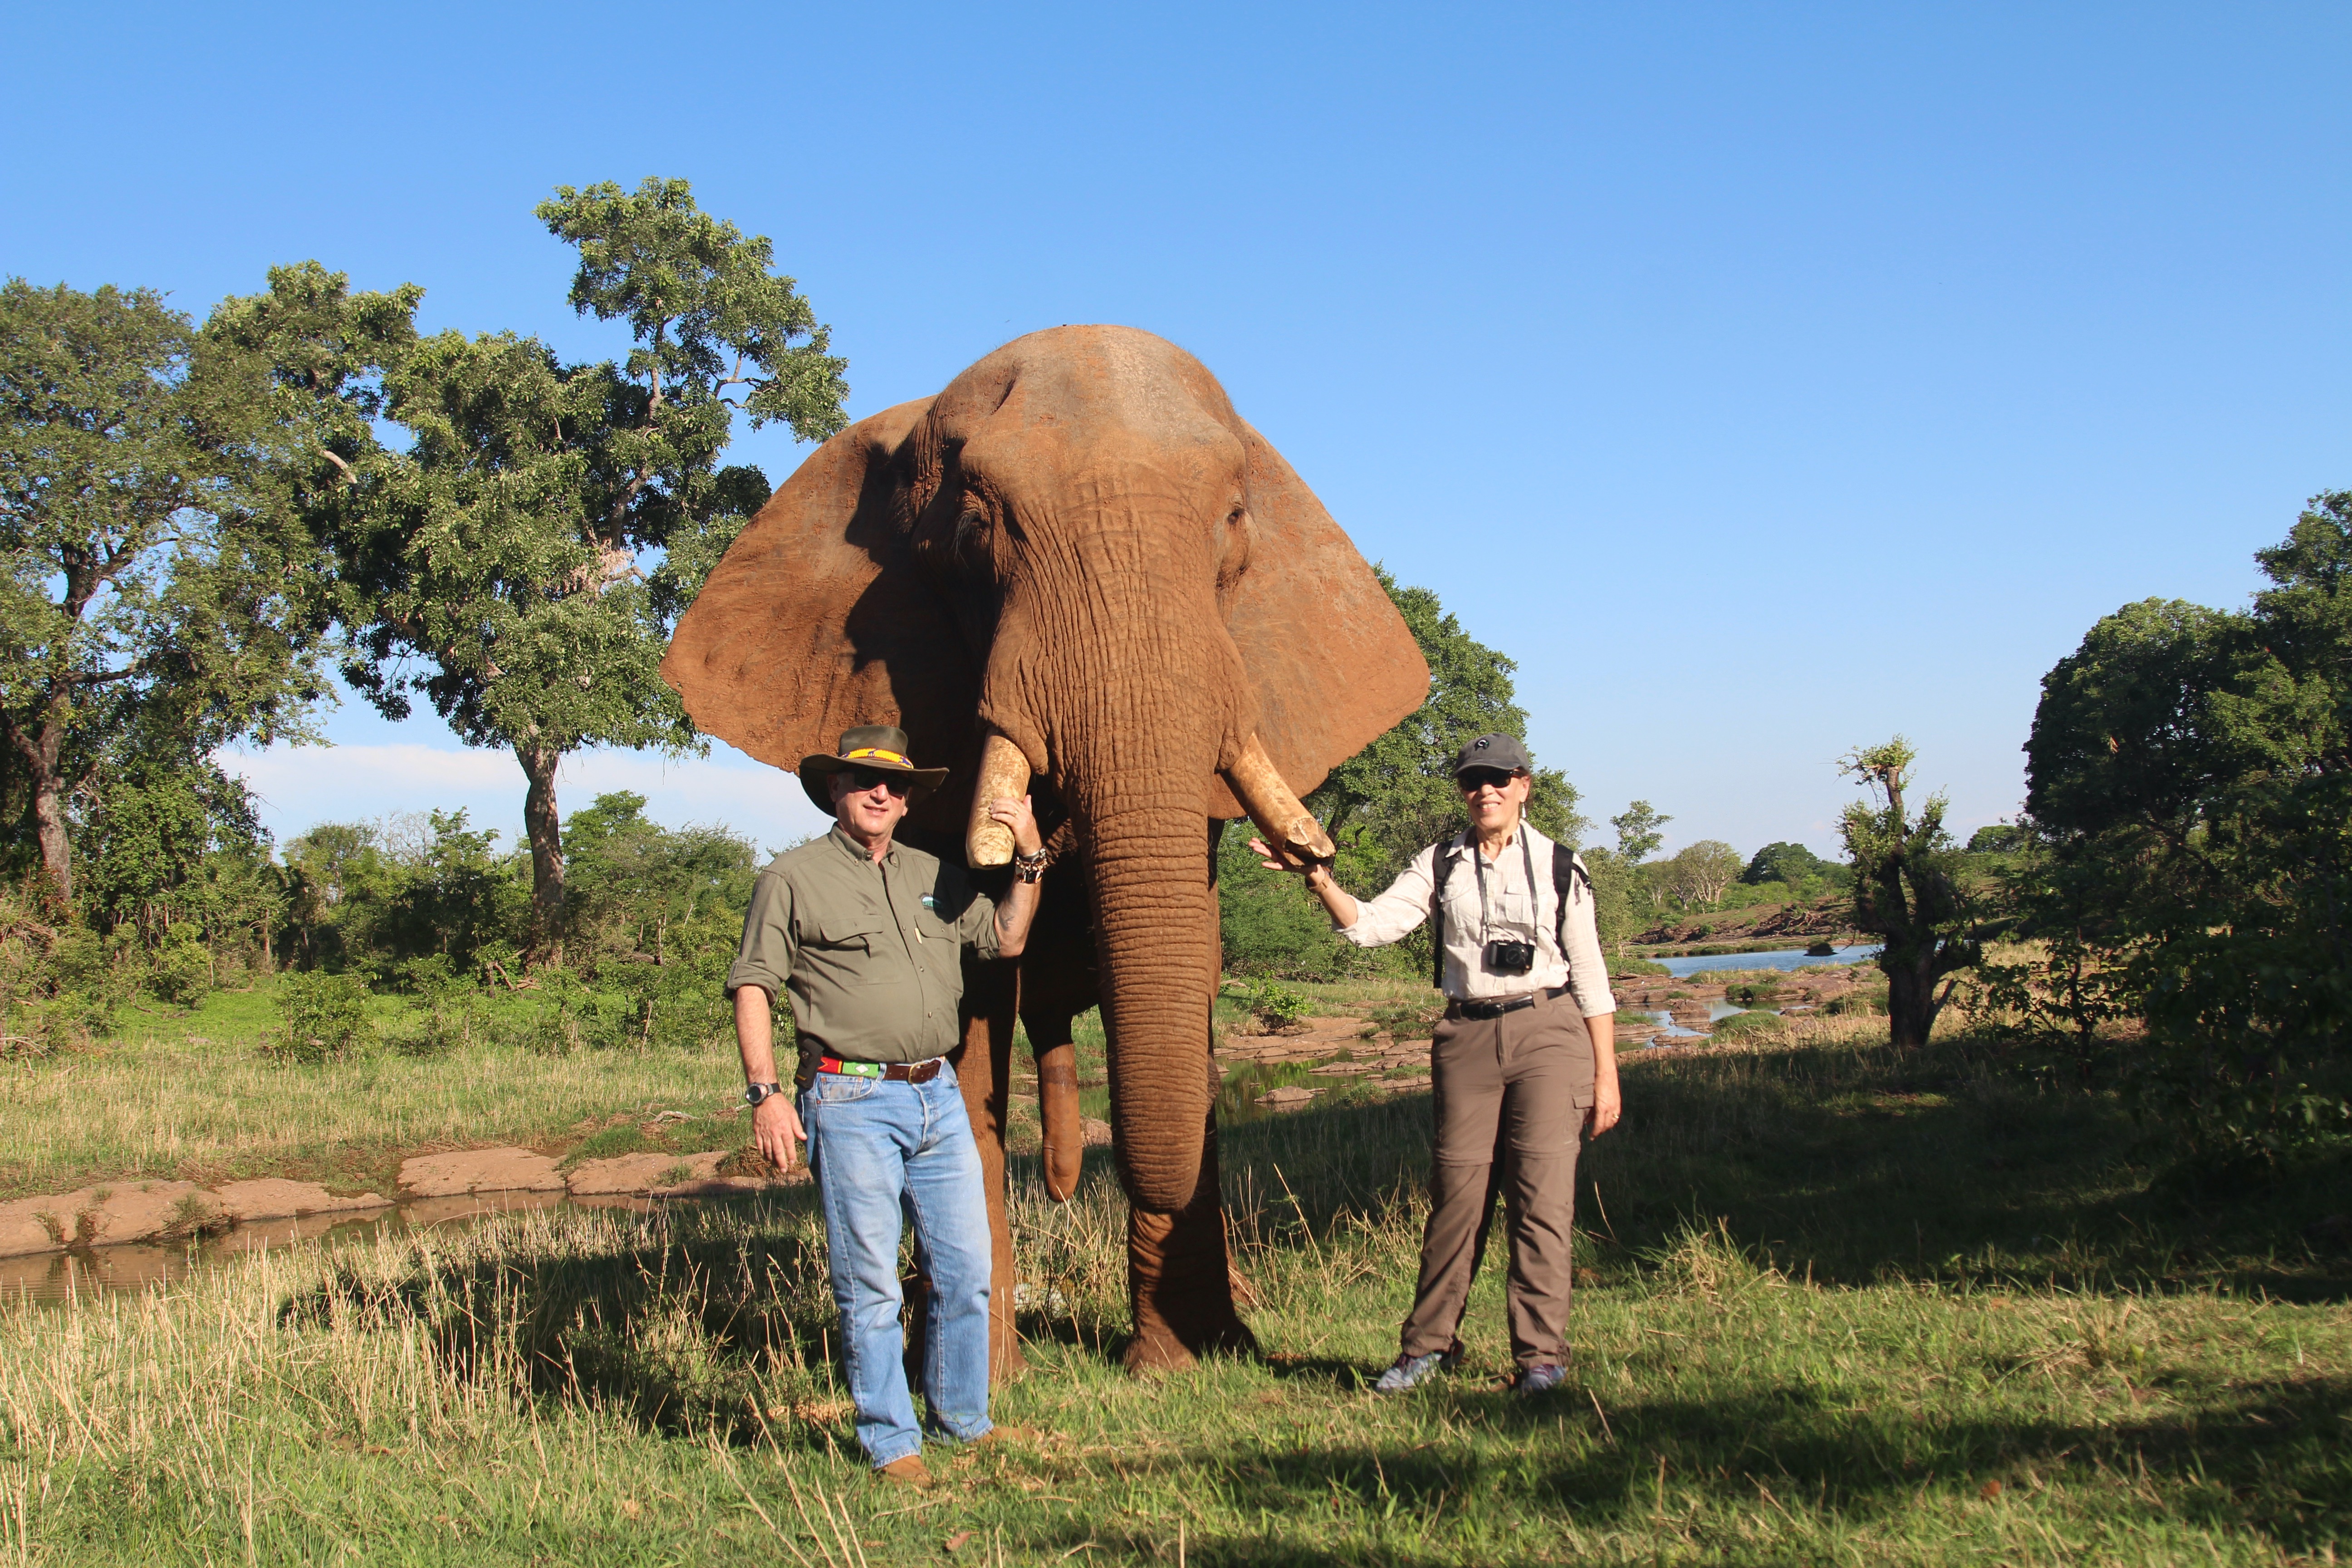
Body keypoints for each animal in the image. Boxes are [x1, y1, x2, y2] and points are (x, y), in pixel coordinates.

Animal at [663, 326, 1428, 1373]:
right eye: (974, 527)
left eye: (1234, 521)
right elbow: (969, 1006)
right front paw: (985, 1378)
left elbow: (1192, 968)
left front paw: (1187, 1361)